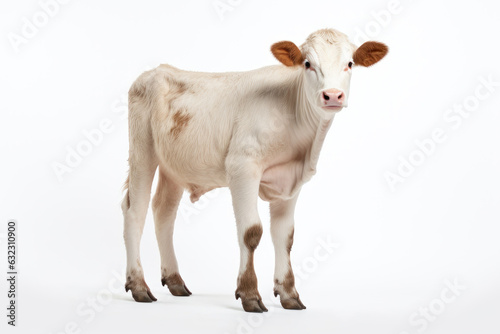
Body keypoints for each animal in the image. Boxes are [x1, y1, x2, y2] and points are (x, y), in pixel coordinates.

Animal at [121, 27, 386, 312]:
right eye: (307, 64)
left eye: (350, 63)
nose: (333, 95)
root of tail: (155, 70)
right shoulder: (242, 167)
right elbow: (251, 232)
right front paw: (249, 293)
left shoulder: (290, 182)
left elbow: (285, 236)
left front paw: (289, 293)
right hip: (142, 150)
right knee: (135, 211)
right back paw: (138, 286)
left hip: (174, 165)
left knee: (163, 212)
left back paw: (175, 281)